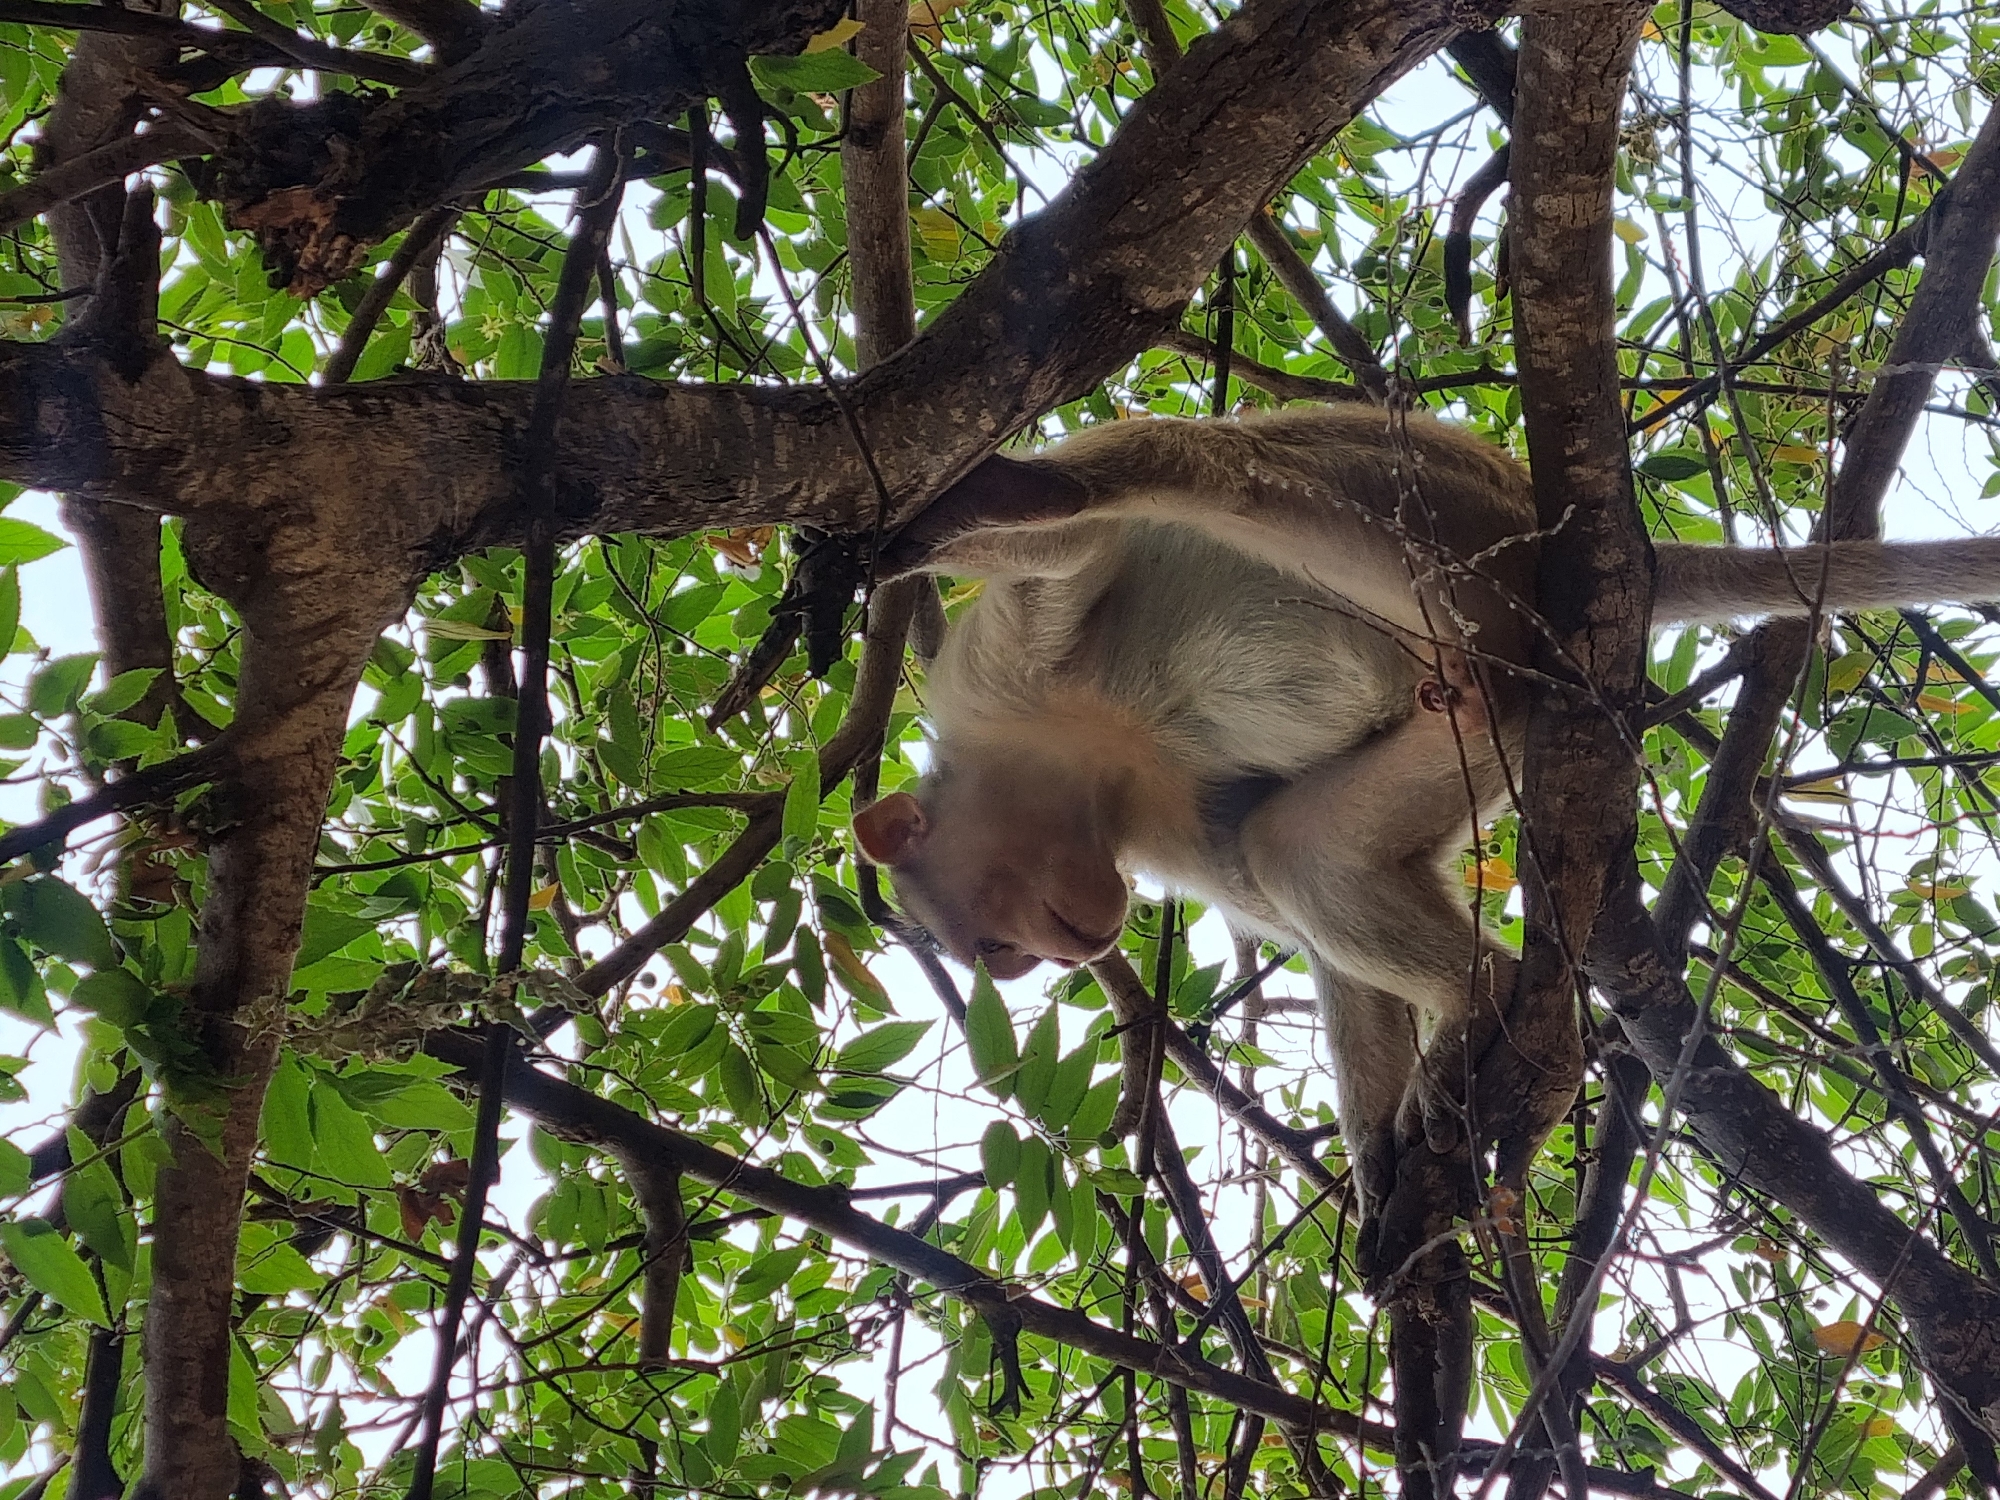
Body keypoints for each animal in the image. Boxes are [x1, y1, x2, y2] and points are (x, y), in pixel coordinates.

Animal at [850, 403, 2000, 1231]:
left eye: (992, 949)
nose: (1067, 951)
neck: (1088, 762)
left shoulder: (999, 671)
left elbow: (1080, 555)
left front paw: (988, 514)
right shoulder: (1158, 829)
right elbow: (1273, 874)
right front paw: (1370, 1165)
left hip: (1438, 518)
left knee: (1214, 468)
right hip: (1490, 699)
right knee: (1298, 845)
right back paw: (1487, 1004)